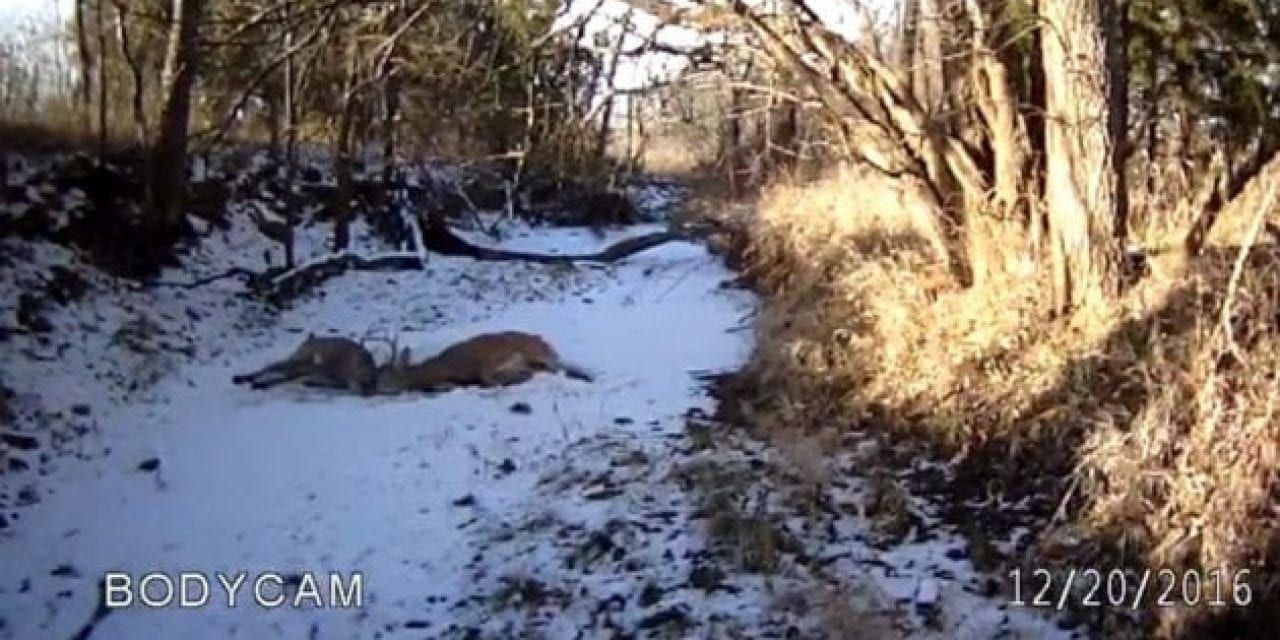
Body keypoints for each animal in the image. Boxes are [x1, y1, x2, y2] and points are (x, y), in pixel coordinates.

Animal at [230, 335, 373, 394]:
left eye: (373, 382)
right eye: (363, 377)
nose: (366, 392)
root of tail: (310, 338)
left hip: (300, 364)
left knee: (283, 374)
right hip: (300, 360)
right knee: (271, 367)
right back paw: (244, 379)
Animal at [371, 332, 588, 391]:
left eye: (384, 374)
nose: (371, 389)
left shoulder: (487, 360)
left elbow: (487, 378)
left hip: (535, 351)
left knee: (556, 367)